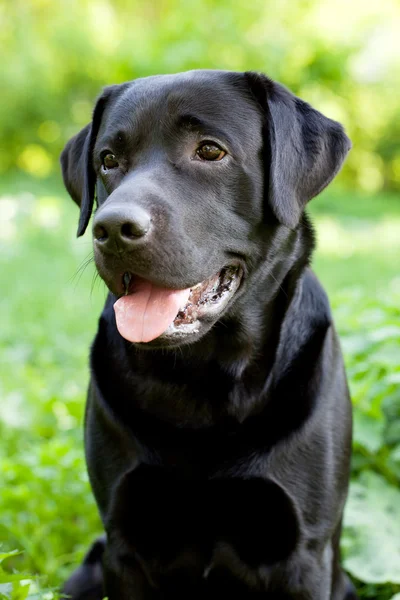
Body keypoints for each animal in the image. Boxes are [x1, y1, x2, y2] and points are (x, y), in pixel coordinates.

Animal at [60, 69, 356, 596]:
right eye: (108, 160)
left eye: (210, 151)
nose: (112, 228)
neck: (205, 378)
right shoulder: (122, 543)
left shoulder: (305, 553)